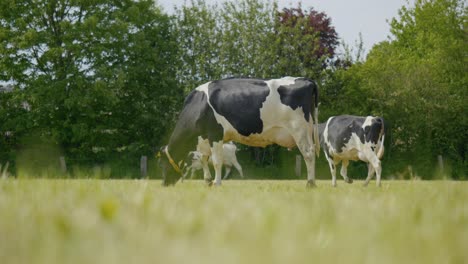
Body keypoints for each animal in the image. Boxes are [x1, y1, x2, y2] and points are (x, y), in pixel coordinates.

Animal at [159, 76, 320, 187]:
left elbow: (216, 161)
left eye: (163, 162)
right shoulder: (204, 139)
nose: (164, 184)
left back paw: (310, 183)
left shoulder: (215, 134)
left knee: (308, 154)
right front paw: (207, 181)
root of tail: (306, 80)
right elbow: (204, 159)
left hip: (299, 130)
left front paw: (216, 183)